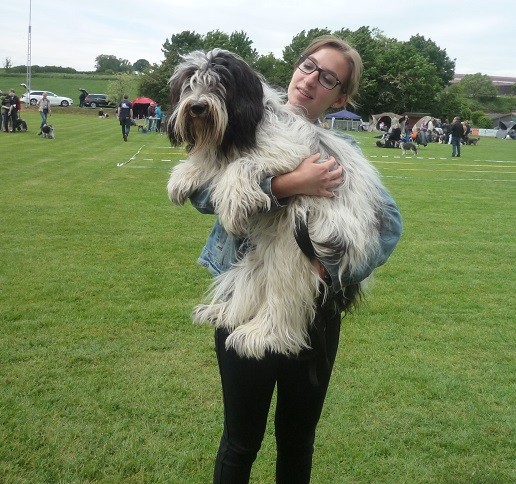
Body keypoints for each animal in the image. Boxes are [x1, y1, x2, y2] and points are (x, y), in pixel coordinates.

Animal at [165, 50, 388, 360]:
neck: (243, 127)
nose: (197, 107)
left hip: (300, 247)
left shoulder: (290, 152)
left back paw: (260, 335)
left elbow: (243, 163)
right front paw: (185, 175)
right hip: (263, 253)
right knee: (251, 283)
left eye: (219, 84)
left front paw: (233, 202)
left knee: (285, 297)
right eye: (189, 85)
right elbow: (214, 162)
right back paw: (223, 313)